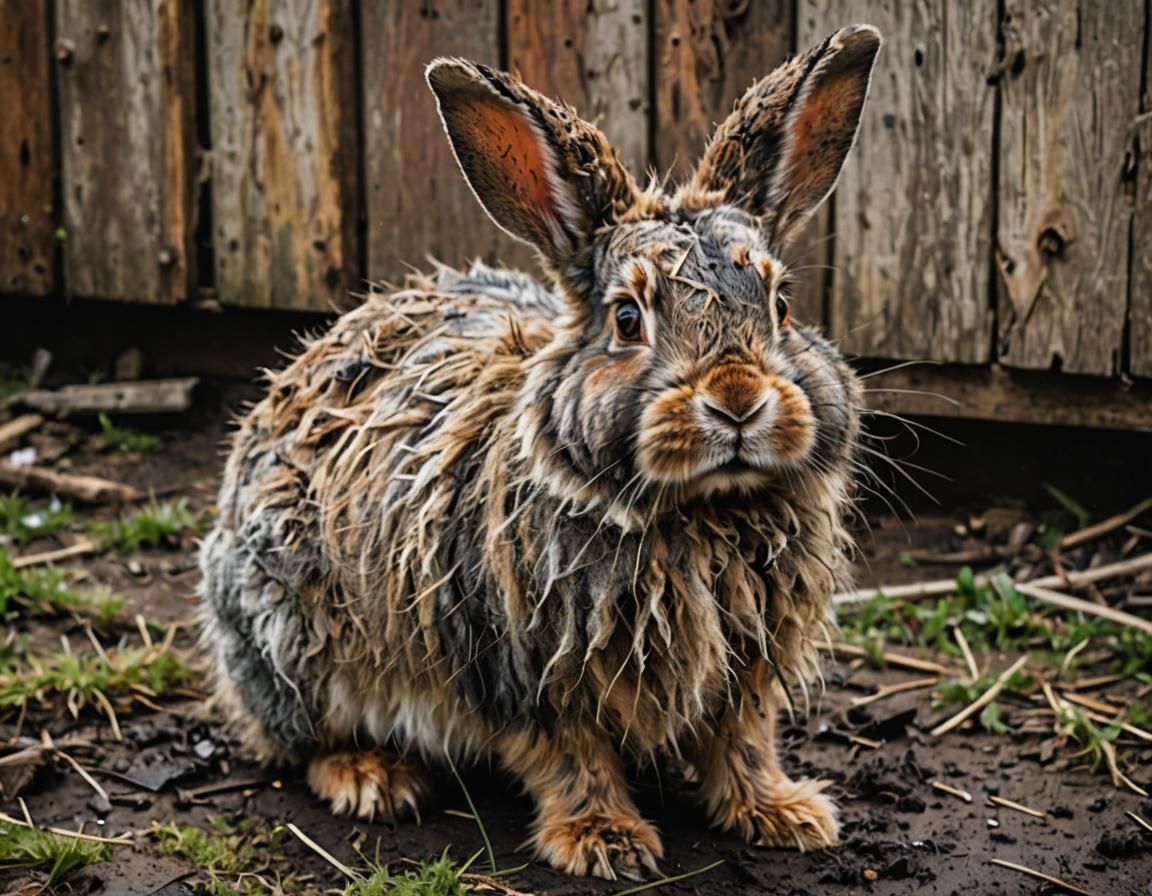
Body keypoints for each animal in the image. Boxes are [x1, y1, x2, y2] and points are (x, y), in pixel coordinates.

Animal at [199, 24, 880, 880]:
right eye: (627, 318)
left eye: (782, 305)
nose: (736, 401)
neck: (696, 512)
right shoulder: (524, 672)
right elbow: (569, 758)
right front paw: (606, 843)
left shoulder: (747, 674)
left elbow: (743, 744)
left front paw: (785, 815)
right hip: (292, 635)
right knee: (298, 736)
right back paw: (372, 777)